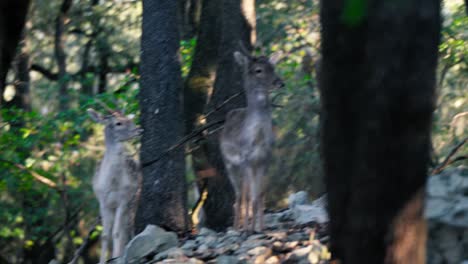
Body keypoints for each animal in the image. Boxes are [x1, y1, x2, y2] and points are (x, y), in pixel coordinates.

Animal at [87, 105, 143, 264]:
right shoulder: (103, 202)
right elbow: (105, 235)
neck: (111, 184)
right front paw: (102, 261)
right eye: (118, 123)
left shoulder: (124, 198)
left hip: (134, 199)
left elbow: (117, 232)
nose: (139, 129)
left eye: (129, 118)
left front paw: (116, 257)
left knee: (128, 226)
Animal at [220, 48, 284, 233]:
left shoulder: (265, 158)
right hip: (230, 164)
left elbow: (260, 195)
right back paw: (237, 227)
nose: (280, 83)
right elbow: (249, 197)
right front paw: (249, 229)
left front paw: (260, 228)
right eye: (258, 70)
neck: (257, 137)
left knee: (247, 194)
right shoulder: (245, 158)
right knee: (239, 196)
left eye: (273, 67)